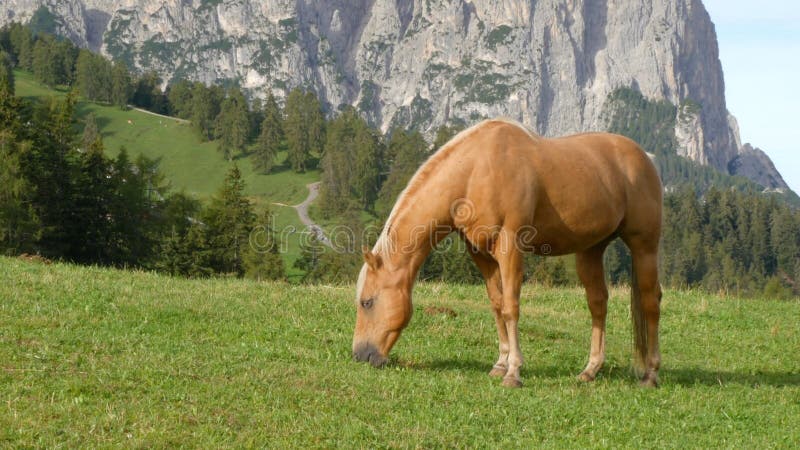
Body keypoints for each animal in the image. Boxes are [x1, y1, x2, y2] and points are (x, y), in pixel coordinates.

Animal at [354, 118, 664, 386]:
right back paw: (590, 370)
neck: (475, 171)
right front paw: (500, 364)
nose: (360, 354)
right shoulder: (480, 253)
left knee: (651, 302)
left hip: (644, 246)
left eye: (367, 302)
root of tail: (646, 158)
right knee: (598, 303)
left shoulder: (510, 246)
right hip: (590, 250)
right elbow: (497, 304)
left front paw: (513, 372)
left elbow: (511, 307)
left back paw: (650, 374)